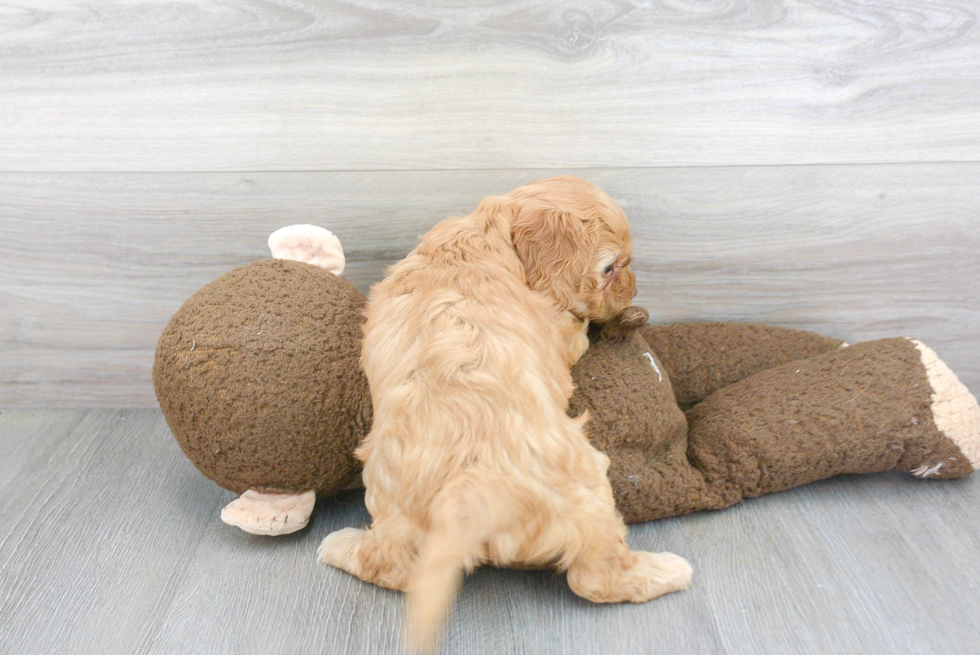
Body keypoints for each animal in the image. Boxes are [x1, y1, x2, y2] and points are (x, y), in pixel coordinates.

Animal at [318, 174, 692, 652]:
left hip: (393, 505)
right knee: (596, 579)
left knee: (390, 566)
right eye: (611, 269)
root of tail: (470, 493)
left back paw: (341, 546)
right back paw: (667, 570)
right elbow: (574, 333)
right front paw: (589, 325)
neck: (484, 234)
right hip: (589, 489)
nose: (634, 288)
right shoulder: (559, 332)